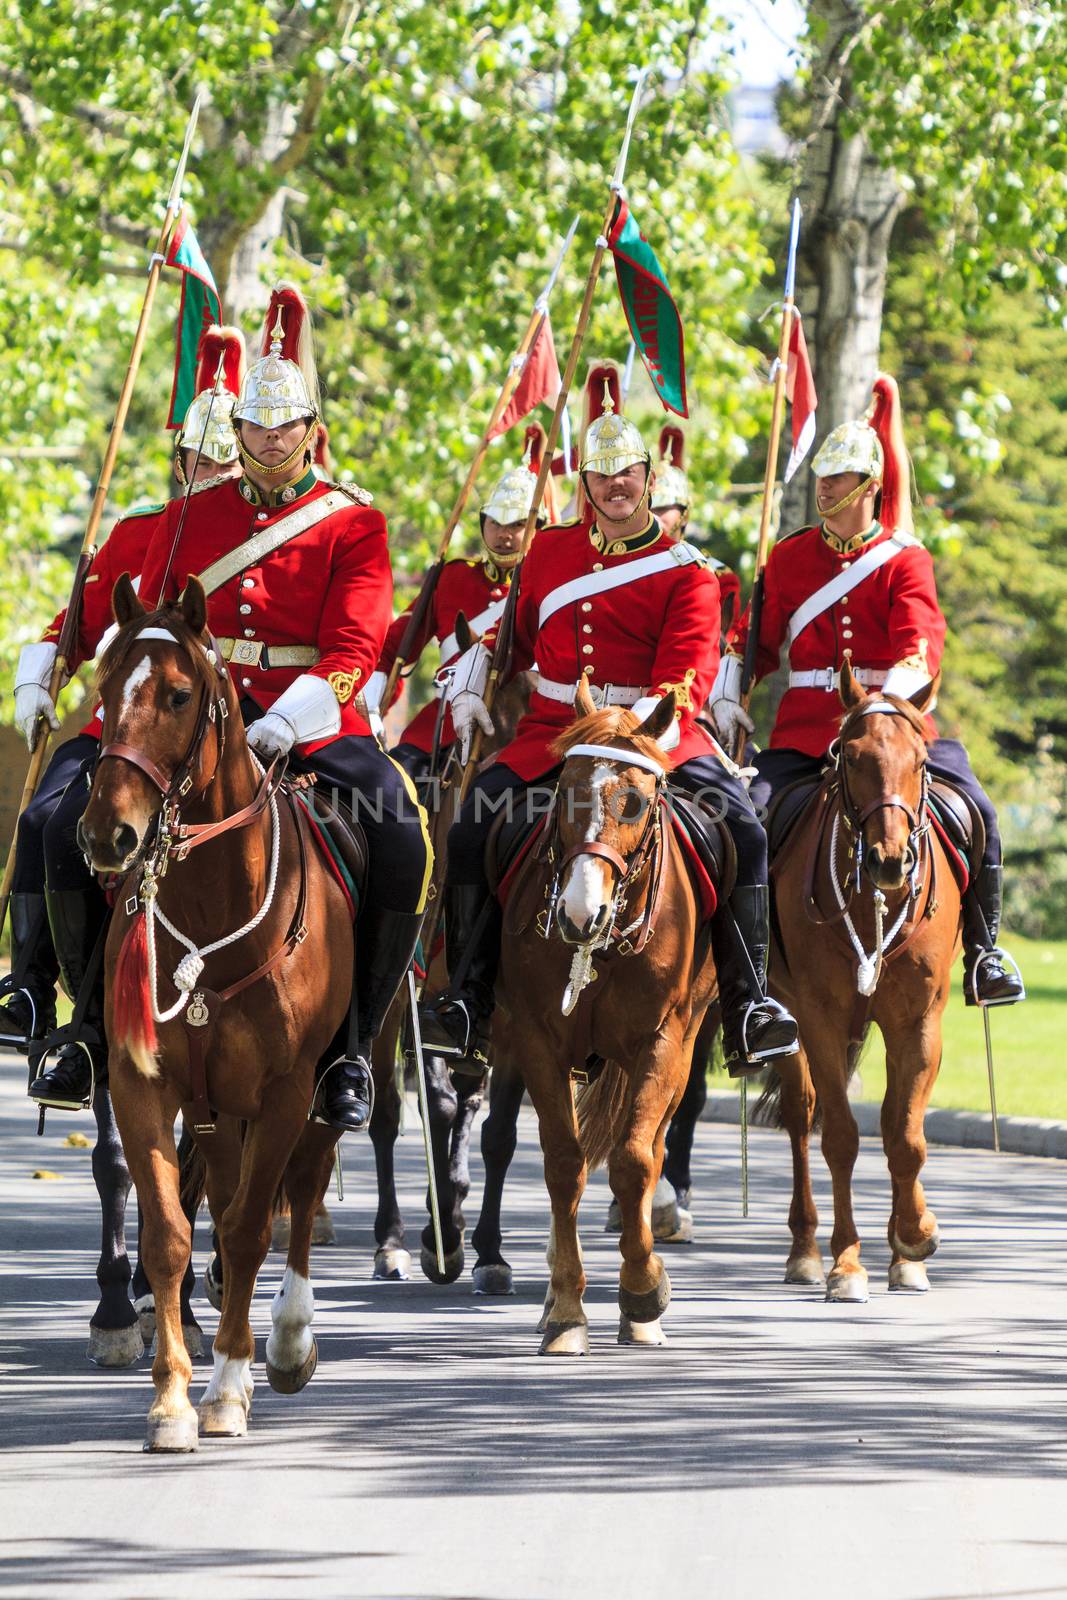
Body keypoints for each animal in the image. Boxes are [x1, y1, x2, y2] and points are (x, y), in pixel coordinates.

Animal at [84, 576, 350, 1452]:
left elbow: (249, 1224)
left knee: (299, 1187)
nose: (107, 834)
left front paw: (230, 1388)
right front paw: (170, 1398)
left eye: (176, 694)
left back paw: (290, 1339)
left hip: (330, 1081)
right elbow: (169, 1230)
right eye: (103, 688)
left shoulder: (285, 1091)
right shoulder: (142, 1084)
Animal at [502, 681, 716, 1356]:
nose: (579, 914)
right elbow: (564, 1164)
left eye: (634, 801)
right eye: (561, 789)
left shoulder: (664, 1042)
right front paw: (568, 1309)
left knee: (651, 1147)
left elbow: (633, 1161)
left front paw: (643, 1293)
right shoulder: (539, 1041)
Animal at [764, 662, 966, 1299]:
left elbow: (904, 1134)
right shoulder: (820, 1020)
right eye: (851, 758)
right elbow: (842, 1138)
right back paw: (804, 1249)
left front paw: (913, 1241)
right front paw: (848, 1264)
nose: (890, 861)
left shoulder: (919, 1023)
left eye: (921, 761)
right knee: (802, 1116)